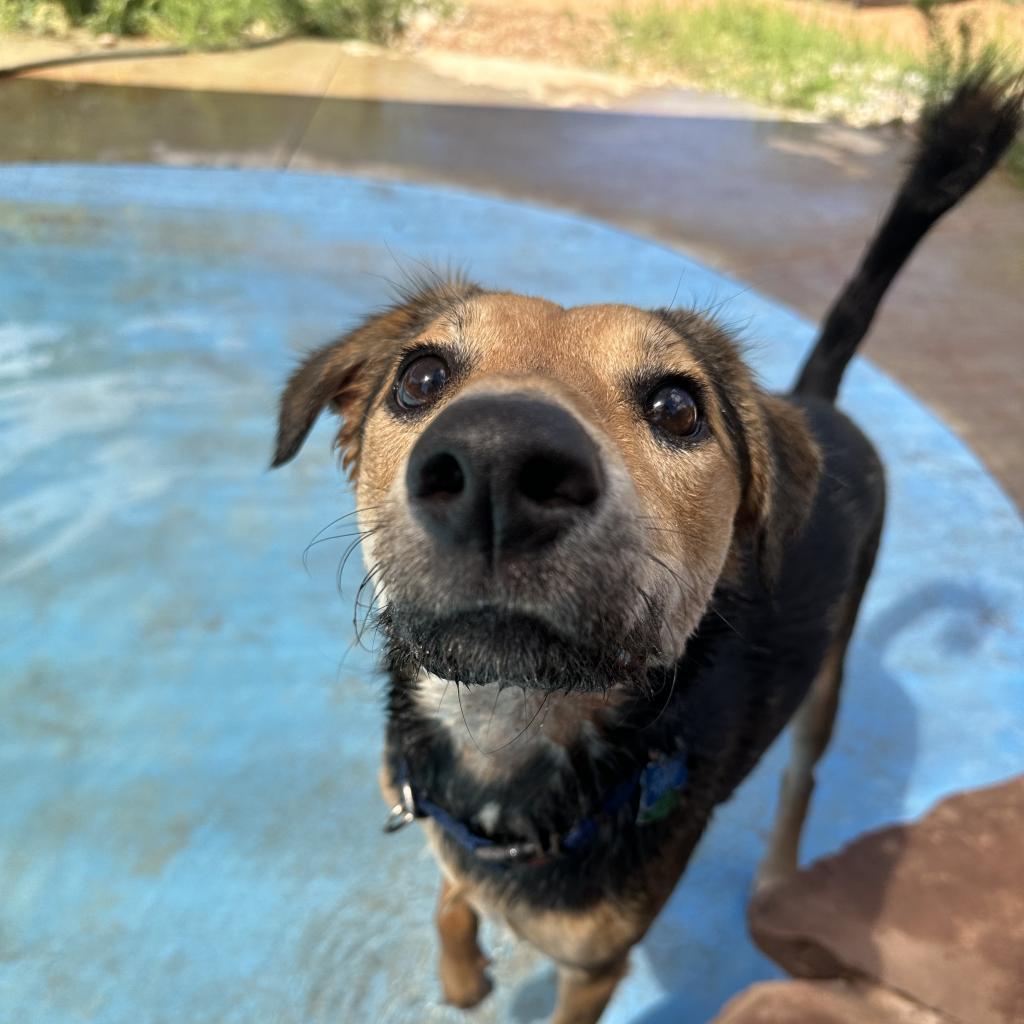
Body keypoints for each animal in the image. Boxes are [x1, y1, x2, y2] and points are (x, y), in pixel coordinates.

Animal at [272, 79, 1024, 1024]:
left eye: (676, 407)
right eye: (421, 378)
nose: (496, 464)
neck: (505, 735)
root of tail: (818, 403)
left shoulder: (596, 965)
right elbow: (452, 898)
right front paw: (463, 974)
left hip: (830, 669)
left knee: (802, 780)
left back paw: (778, 885)